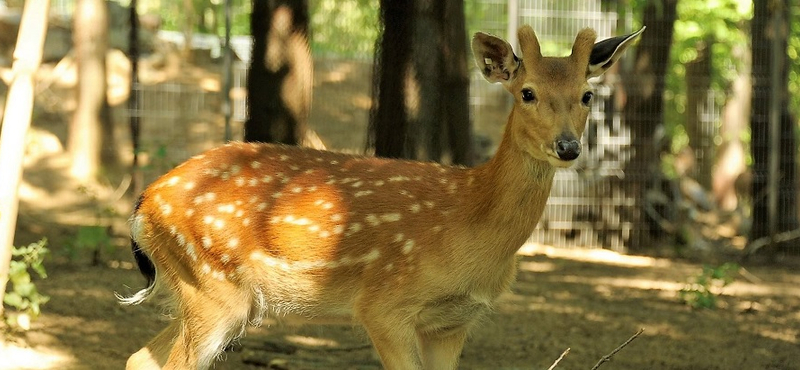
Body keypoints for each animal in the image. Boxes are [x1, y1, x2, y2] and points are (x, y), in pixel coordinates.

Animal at [119, 24, 644, 368]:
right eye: (527, 92)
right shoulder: (384, 305)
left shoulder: (452, 322)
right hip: (212, 284)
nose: (568, 146)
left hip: (202, 290)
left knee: (138, 358)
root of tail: (143, 205)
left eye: (587, 95)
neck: (468, 226)